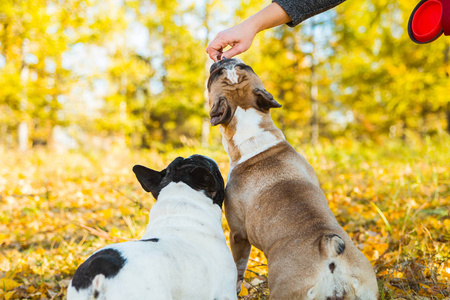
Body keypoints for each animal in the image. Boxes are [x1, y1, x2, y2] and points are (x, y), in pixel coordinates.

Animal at [209, 57, 378, 298]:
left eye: (215, 75)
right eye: (246, 67)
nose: (226, 58)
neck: (254, 138)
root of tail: (329, 253)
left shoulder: (238, 234)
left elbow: (238, 266)